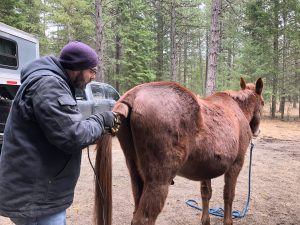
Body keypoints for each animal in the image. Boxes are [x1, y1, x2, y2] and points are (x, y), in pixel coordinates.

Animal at [95, 78, 264, 225]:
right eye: (262, 103)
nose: (256, 131)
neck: (238, 110)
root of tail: (132, 96)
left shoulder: (206, 170)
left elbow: (206, 194)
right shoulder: (236, 165)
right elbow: (228, 195)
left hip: (136, 175)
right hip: (159, 181)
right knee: (143, 219)